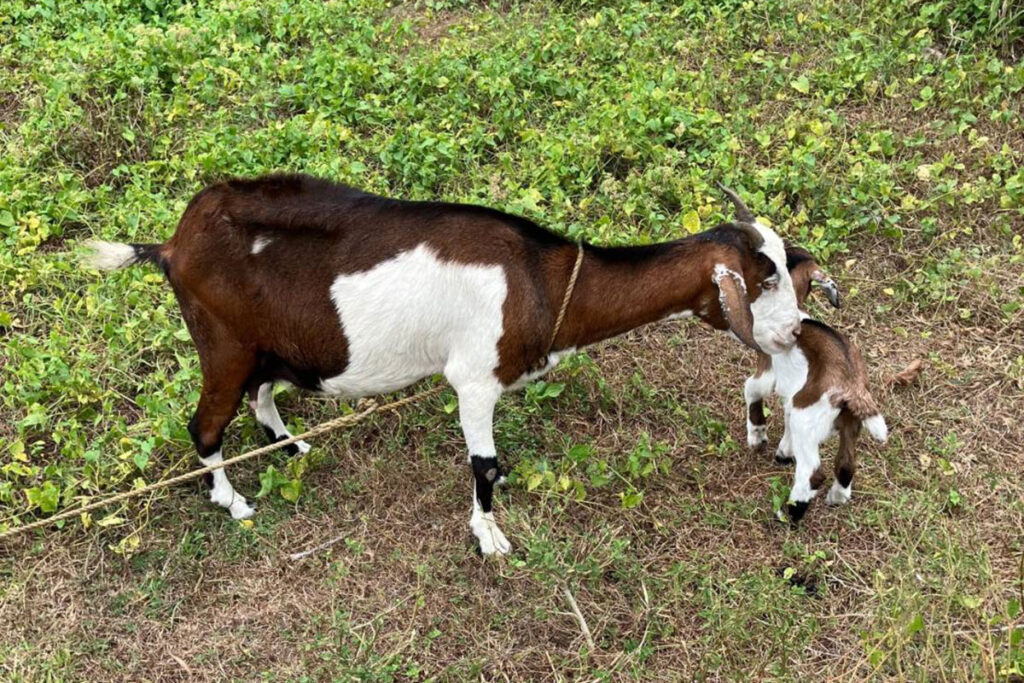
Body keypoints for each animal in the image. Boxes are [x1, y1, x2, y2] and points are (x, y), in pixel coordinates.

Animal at [83, 174, 802, 552]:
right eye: (762, 279)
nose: (796, 330)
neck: (540, 278)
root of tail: (172, 245)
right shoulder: (474, 378)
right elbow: (484, 463)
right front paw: (490, 536)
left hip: (261, 339)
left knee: (263, 390)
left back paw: (291, 447)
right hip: (221, 340)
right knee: (204, 426)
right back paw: (233, 501)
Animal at [745, 250, 888, 524]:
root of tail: (852, 386)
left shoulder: (768, 371)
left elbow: (752, 389)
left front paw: (757, 436)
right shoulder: (794, 395)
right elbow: (786, 418)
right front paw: (784, 453)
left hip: (807, 418)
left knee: (813, 473)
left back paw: (791, 513)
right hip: (849, 425)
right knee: (845, 465)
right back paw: (836, 498)